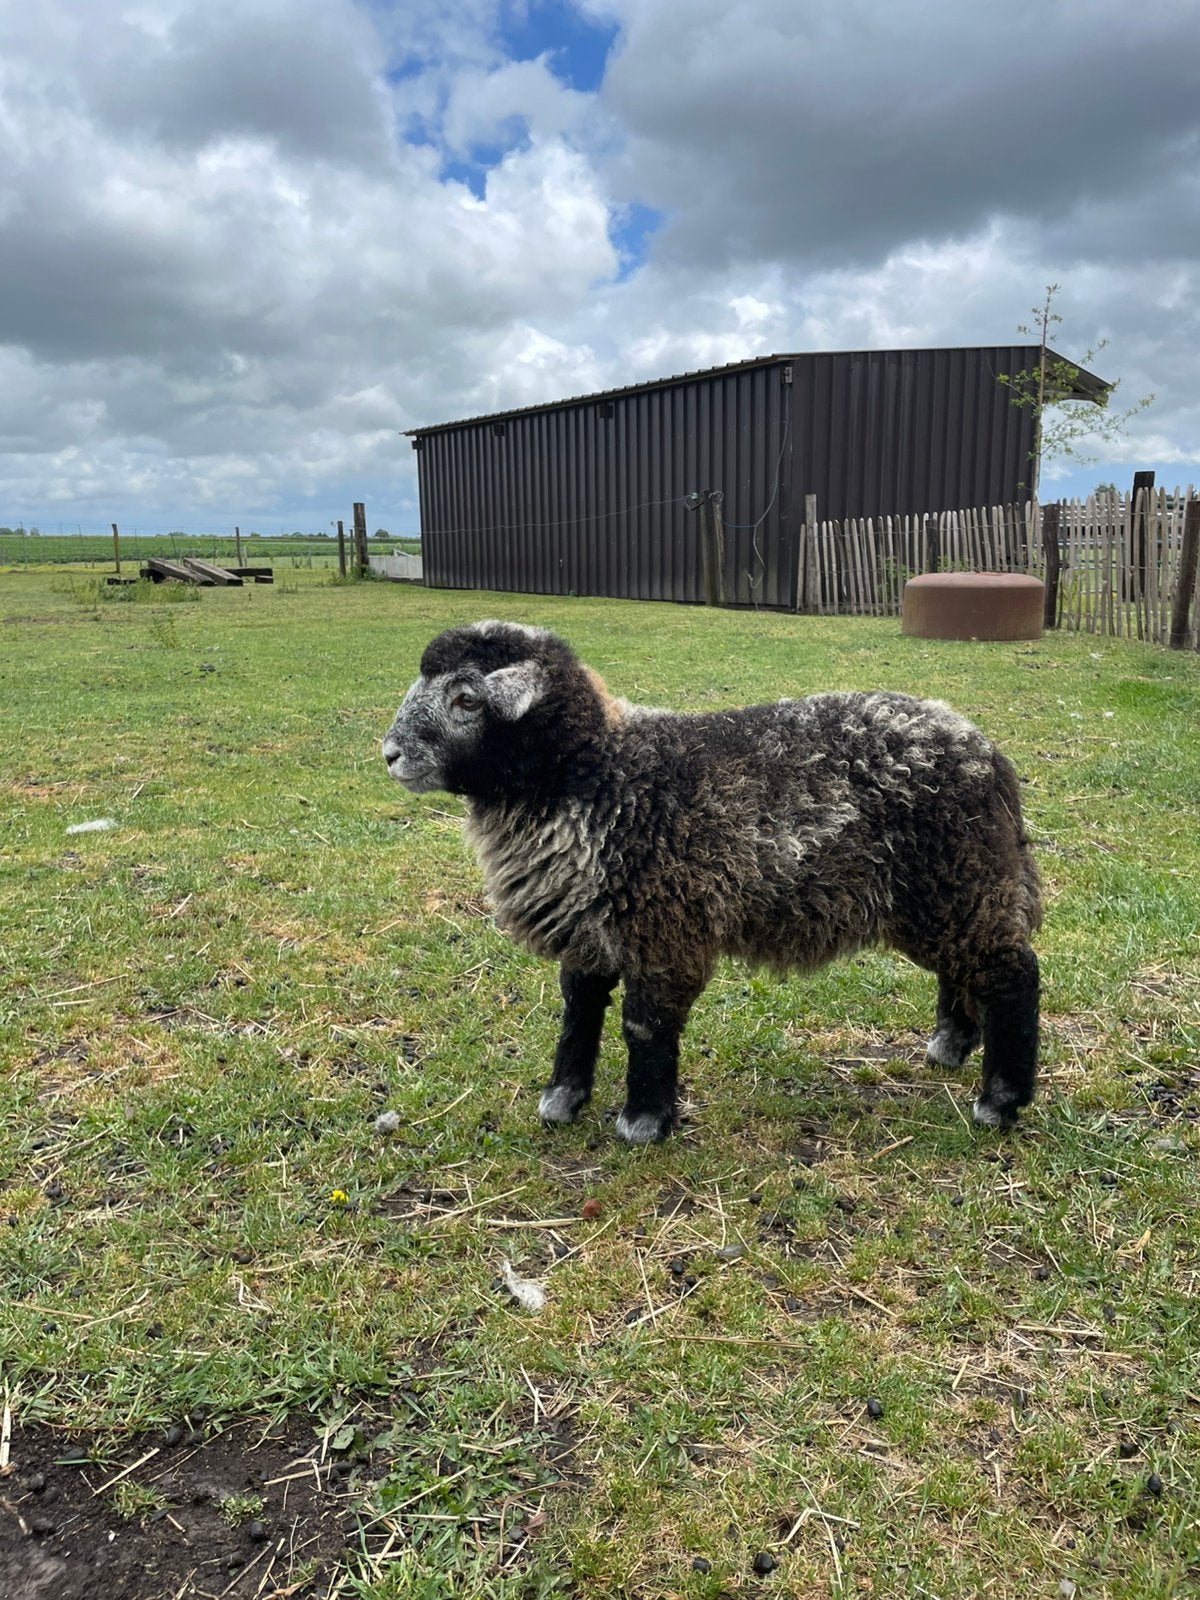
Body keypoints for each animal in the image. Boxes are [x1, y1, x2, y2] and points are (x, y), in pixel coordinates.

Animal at [382, 620, 1042, 1144]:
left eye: (466, 697)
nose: (388, 753)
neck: (600, 775)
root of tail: (986, 752)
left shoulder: (665, 926)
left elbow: (644, 1022)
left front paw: (644, 1122)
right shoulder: (590, 932)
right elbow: (579, 1008)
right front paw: (562, 1100)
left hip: (957, 879)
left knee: (1012, 973)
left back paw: (999, 1102)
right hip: (947, 891)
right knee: (966, 966)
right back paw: (950, 1048)